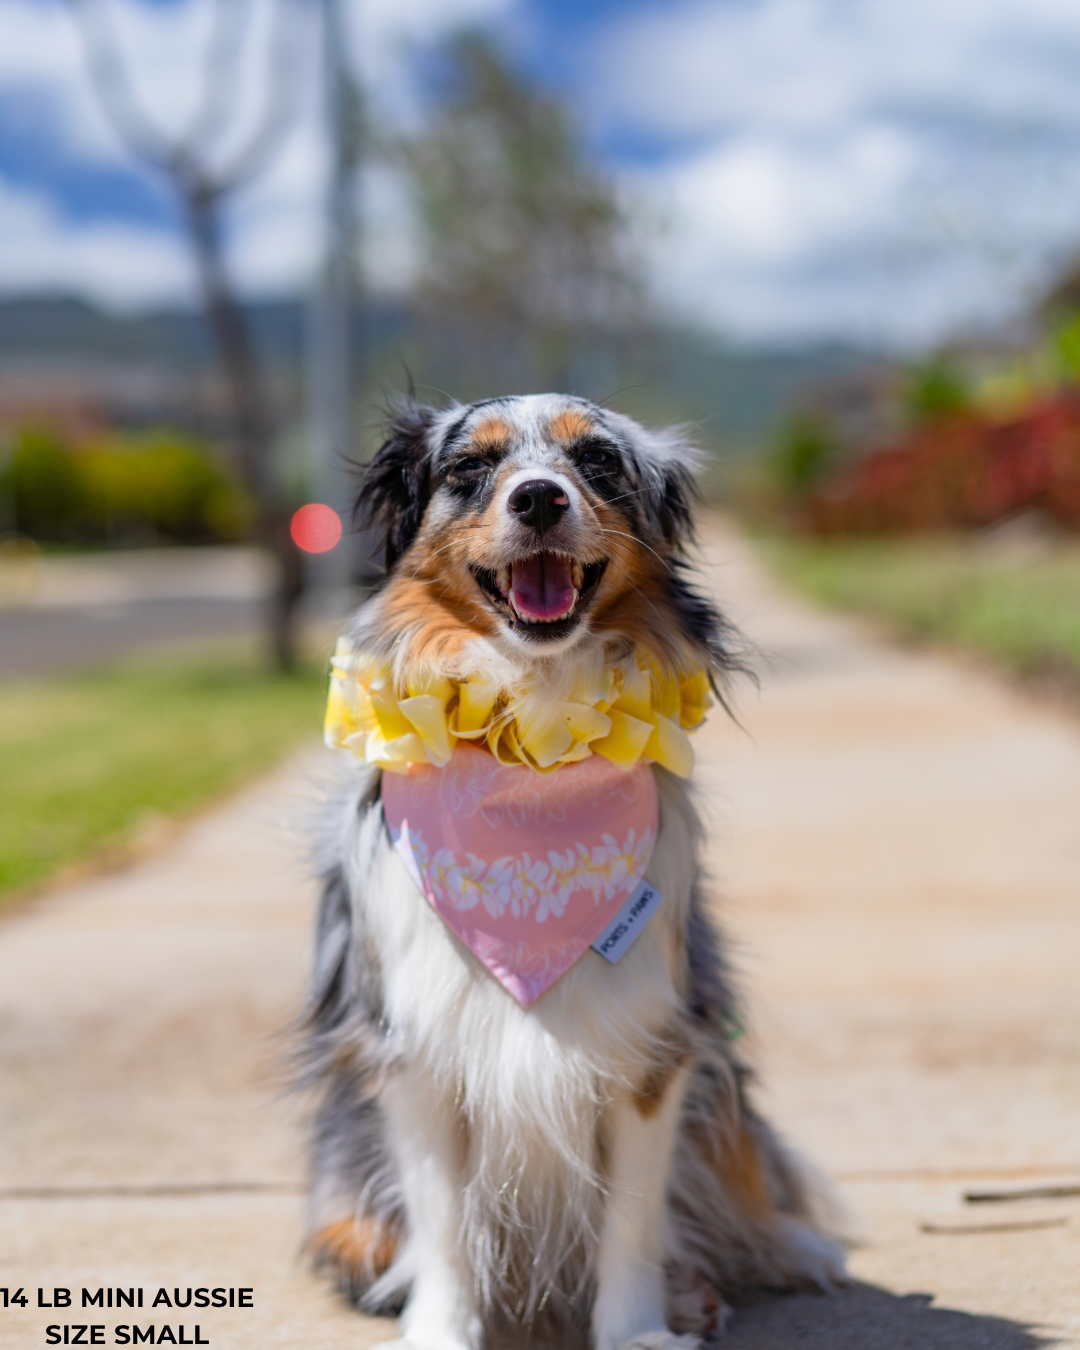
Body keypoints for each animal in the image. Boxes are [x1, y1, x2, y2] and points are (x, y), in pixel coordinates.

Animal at [299, 394, 847, 1350]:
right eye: (469, 469)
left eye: (597, 462)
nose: (539, 499)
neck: (535, 731)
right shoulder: (413, 1050)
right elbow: (443, 1227)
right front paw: (442, 1329)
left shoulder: (653, 1047)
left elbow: (632, 1218)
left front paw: (637, 1332)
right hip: (342, 1190)